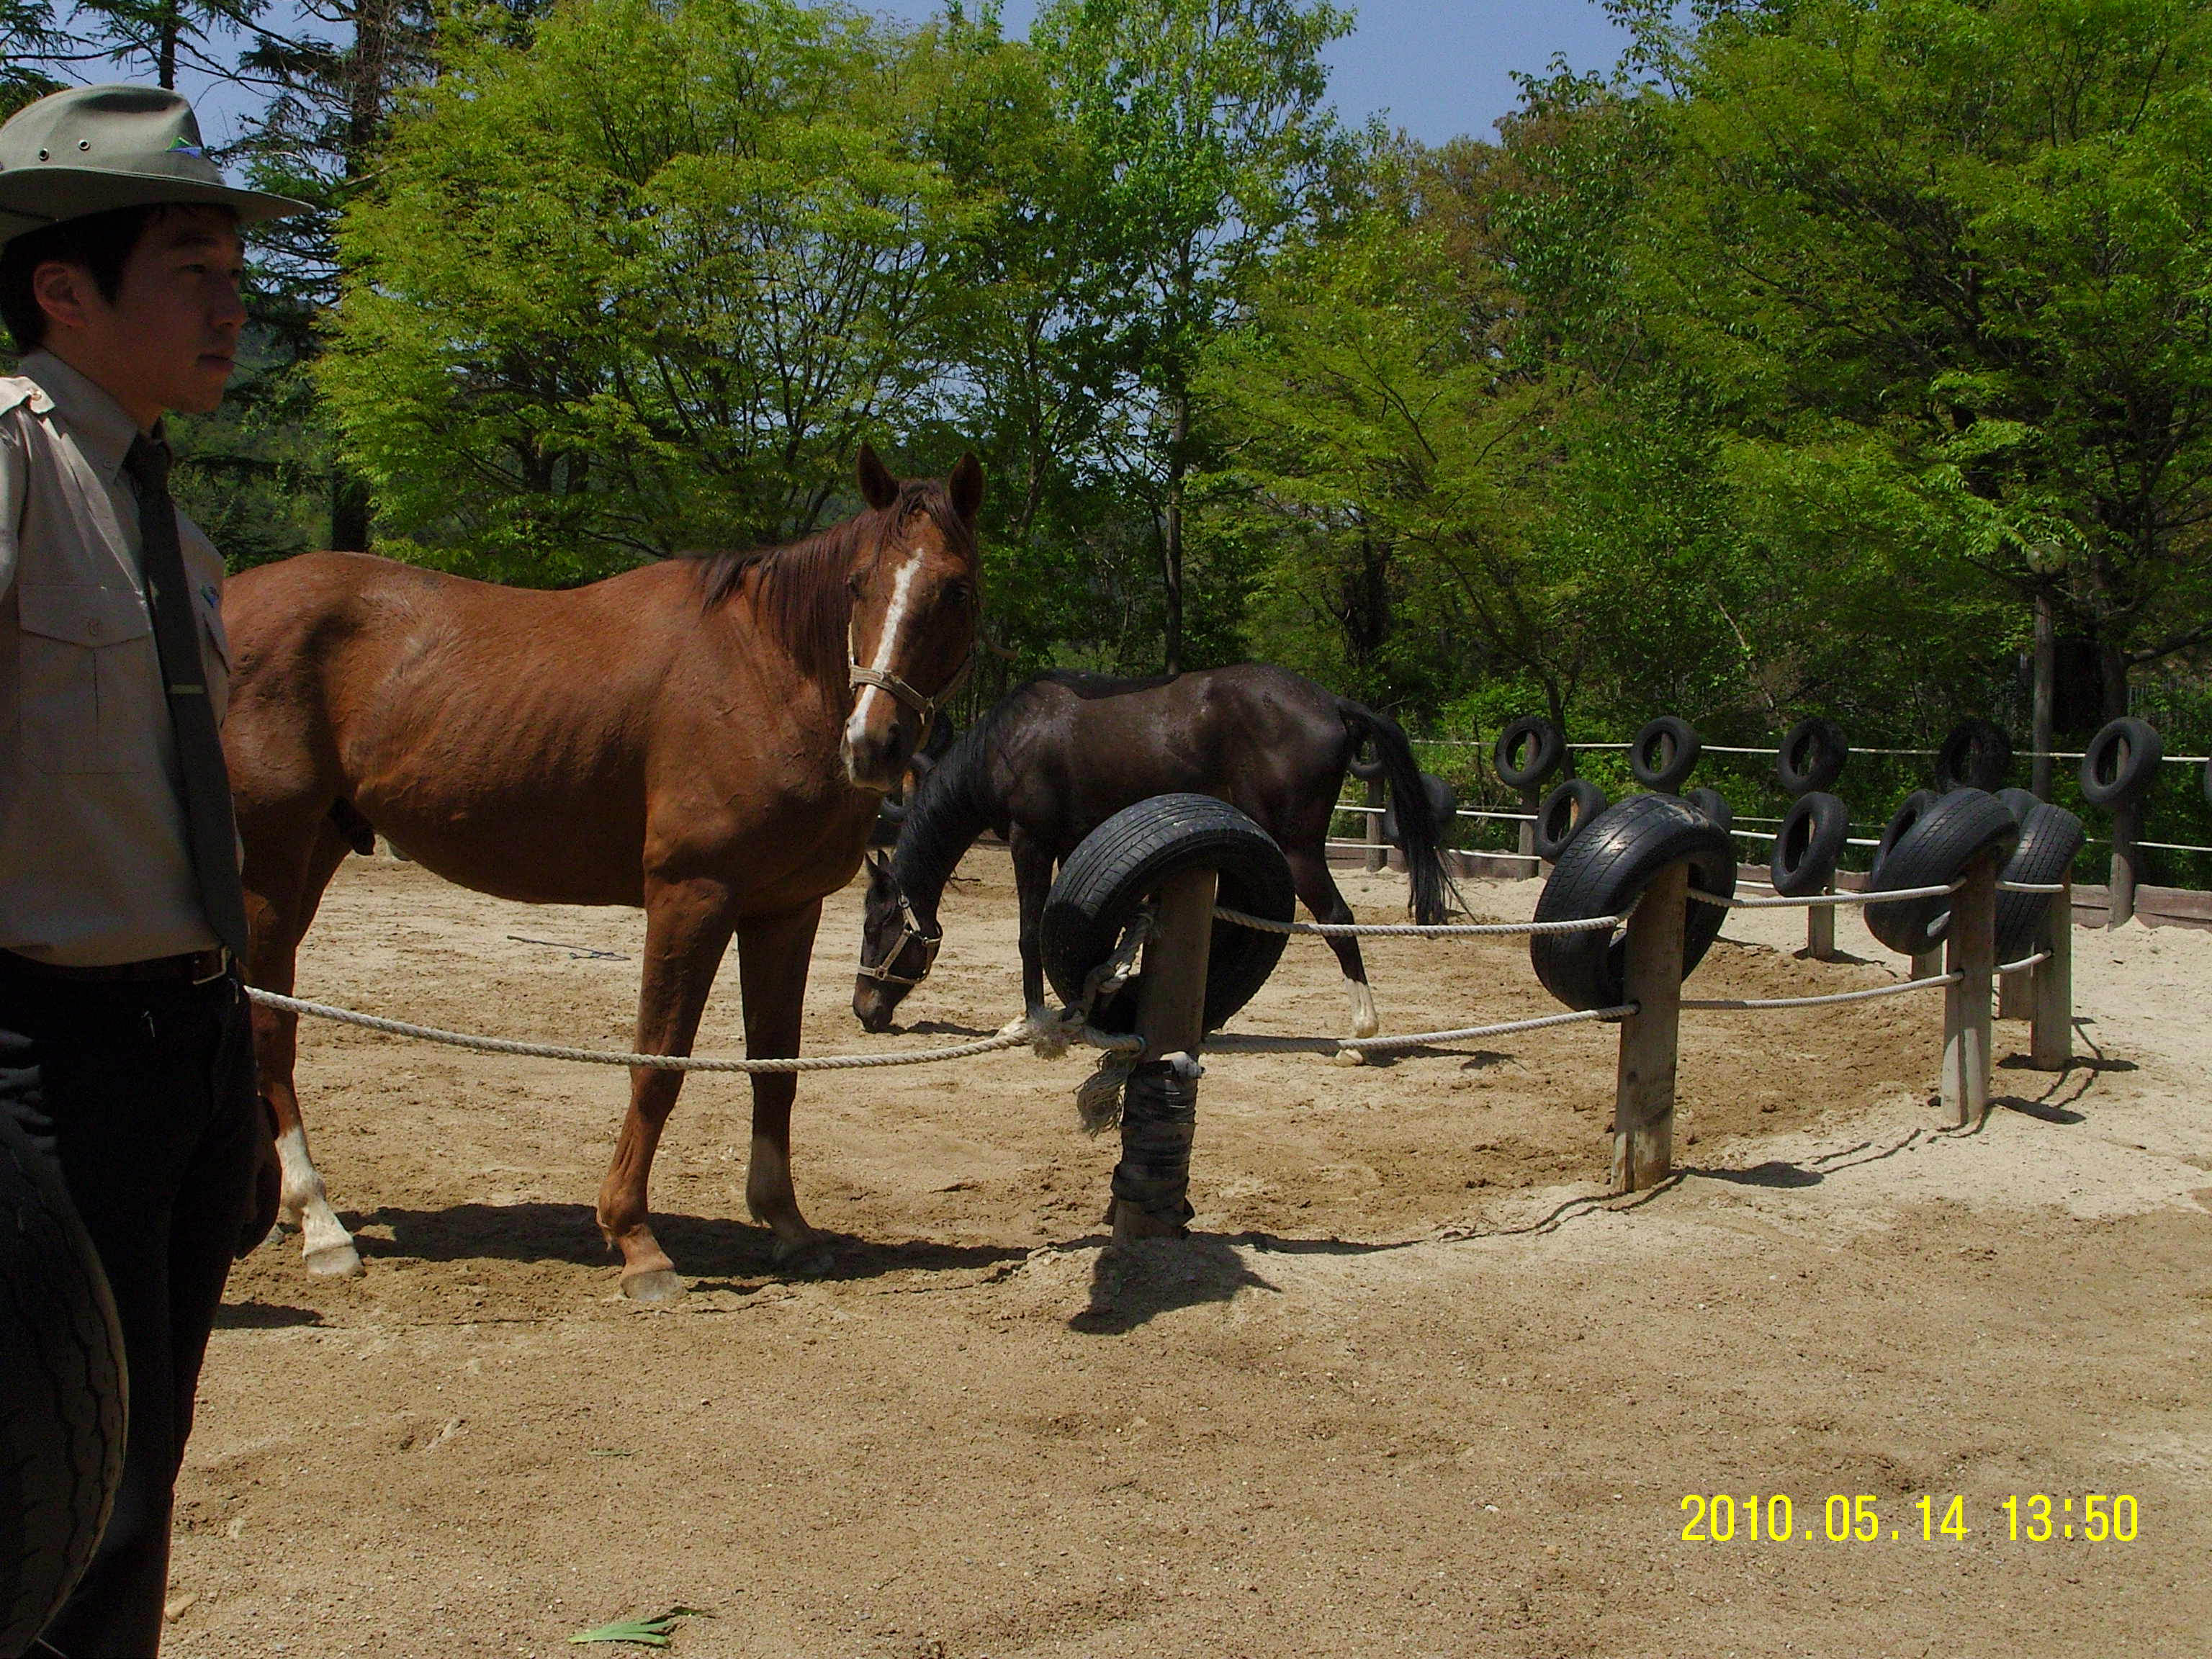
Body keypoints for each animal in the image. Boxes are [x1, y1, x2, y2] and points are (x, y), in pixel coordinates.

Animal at [228, 451, 981, 1300]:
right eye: (857, 584)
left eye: (955, 589)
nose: (873, 744)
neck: (763, 673)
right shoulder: (691, 896)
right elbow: (658, 1066)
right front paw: (636, 1240)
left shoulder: (786, 909)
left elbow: (775, 1069)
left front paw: (788, 1226)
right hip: (270, 859)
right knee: (271, 1025)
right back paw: (320, 1224)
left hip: (312, 853)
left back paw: (284, 1215)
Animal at [849, 663, 1451, 1039]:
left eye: (877, 927)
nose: (863, 1011)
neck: (1009, 743)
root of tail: (1332, 704)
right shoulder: (1073, 845)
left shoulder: (1030, 843)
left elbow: (1028, 935)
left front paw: (1031, 1020)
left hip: (1299, 851)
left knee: (1339, 920)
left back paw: (1363, 1031)